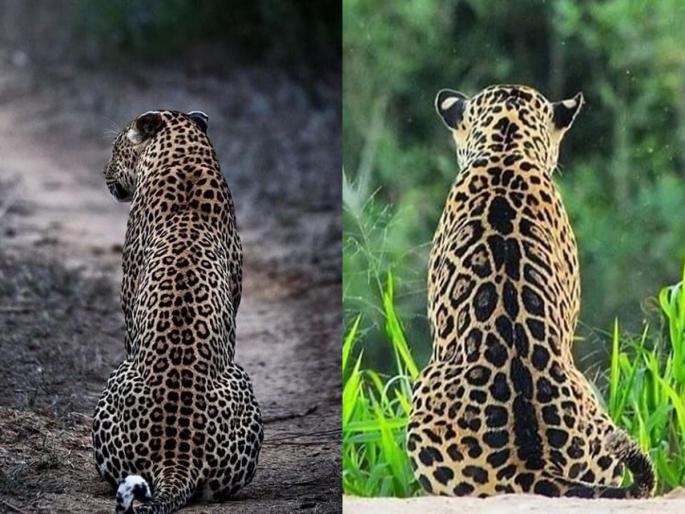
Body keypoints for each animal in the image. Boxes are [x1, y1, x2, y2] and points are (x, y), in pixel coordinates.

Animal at [93, 110, 263, 514]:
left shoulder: (129, 298)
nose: (103, 172)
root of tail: (176, 457)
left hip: (121, 378)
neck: (184, 155)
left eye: (116, 146)